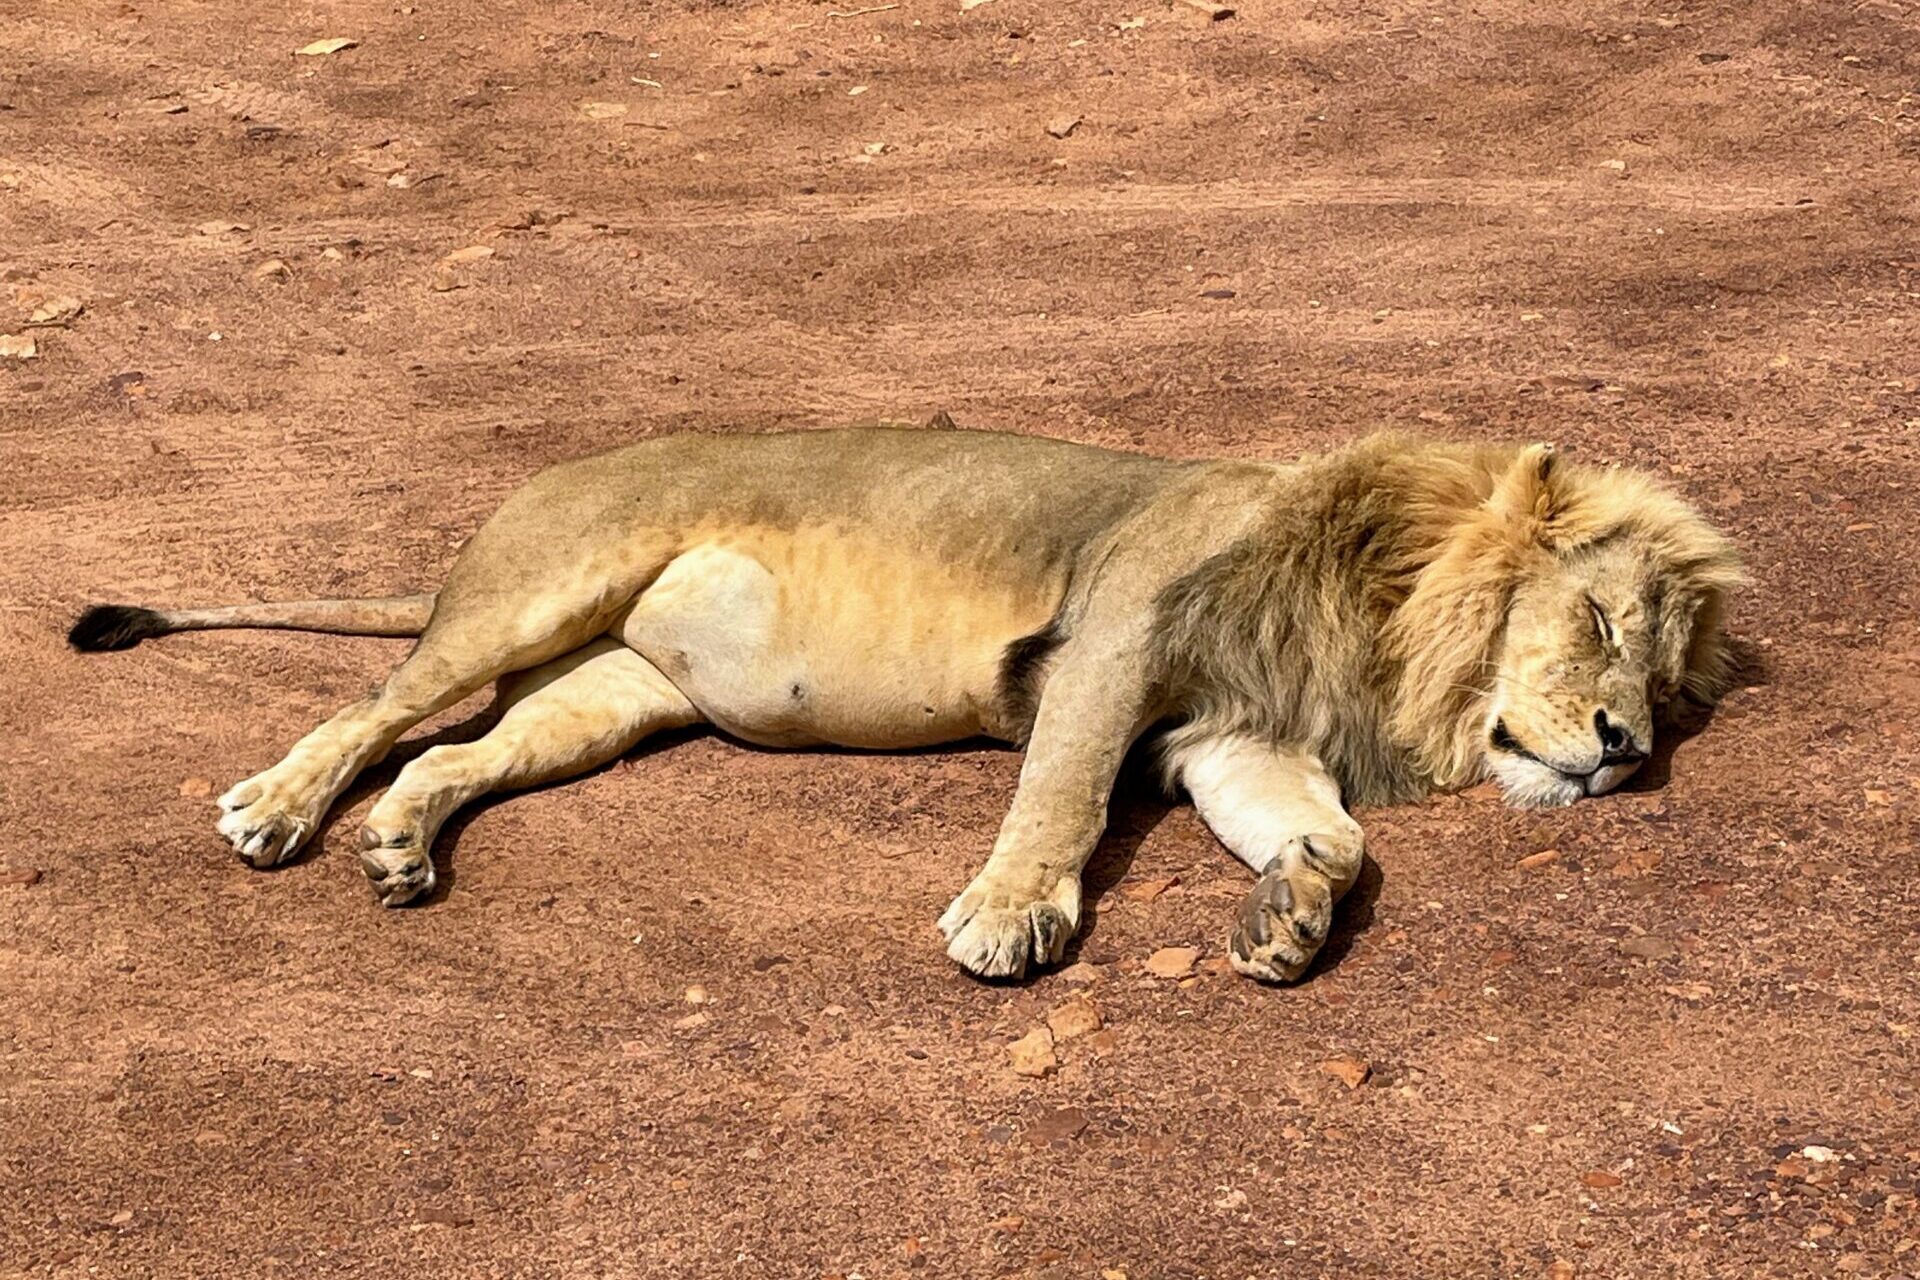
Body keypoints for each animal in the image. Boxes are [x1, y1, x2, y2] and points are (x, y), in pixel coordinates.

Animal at [68, 426, 1741, 983]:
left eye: (1664, 688)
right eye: (1599, 620)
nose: (1625, 753)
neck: (1377, 606)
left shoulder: (1229, 734)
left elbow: (1328, 837)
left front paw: (1291, 918)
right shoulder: (1115, 640)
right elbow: (1059, 792)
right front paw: (1010, 918)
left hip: (614, 697)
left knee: (456, 755)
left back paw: (403, 845)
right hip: (532, 591)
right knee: (374, 708)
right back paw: (281, 806)